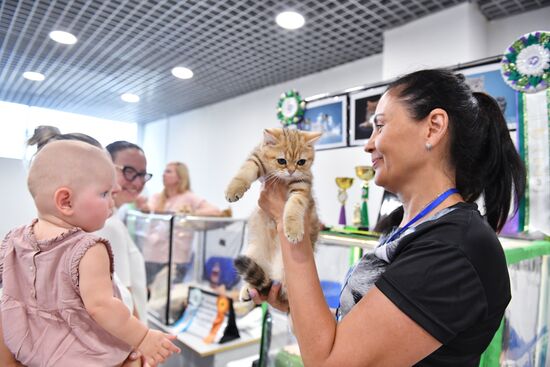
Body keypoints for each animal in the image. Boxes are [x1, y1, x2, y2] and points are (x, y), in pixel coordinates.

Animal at [225, 129, 322, 304]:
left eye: (301, 162)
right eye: (281, 161)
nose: (291, 170)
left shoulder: (302, 184)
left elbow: (294, 206)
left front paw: (293, 229)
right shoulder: (257, 157)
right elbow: (245, 171)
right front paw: (234, 188)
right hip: (253, 252)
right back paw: (247, 290)